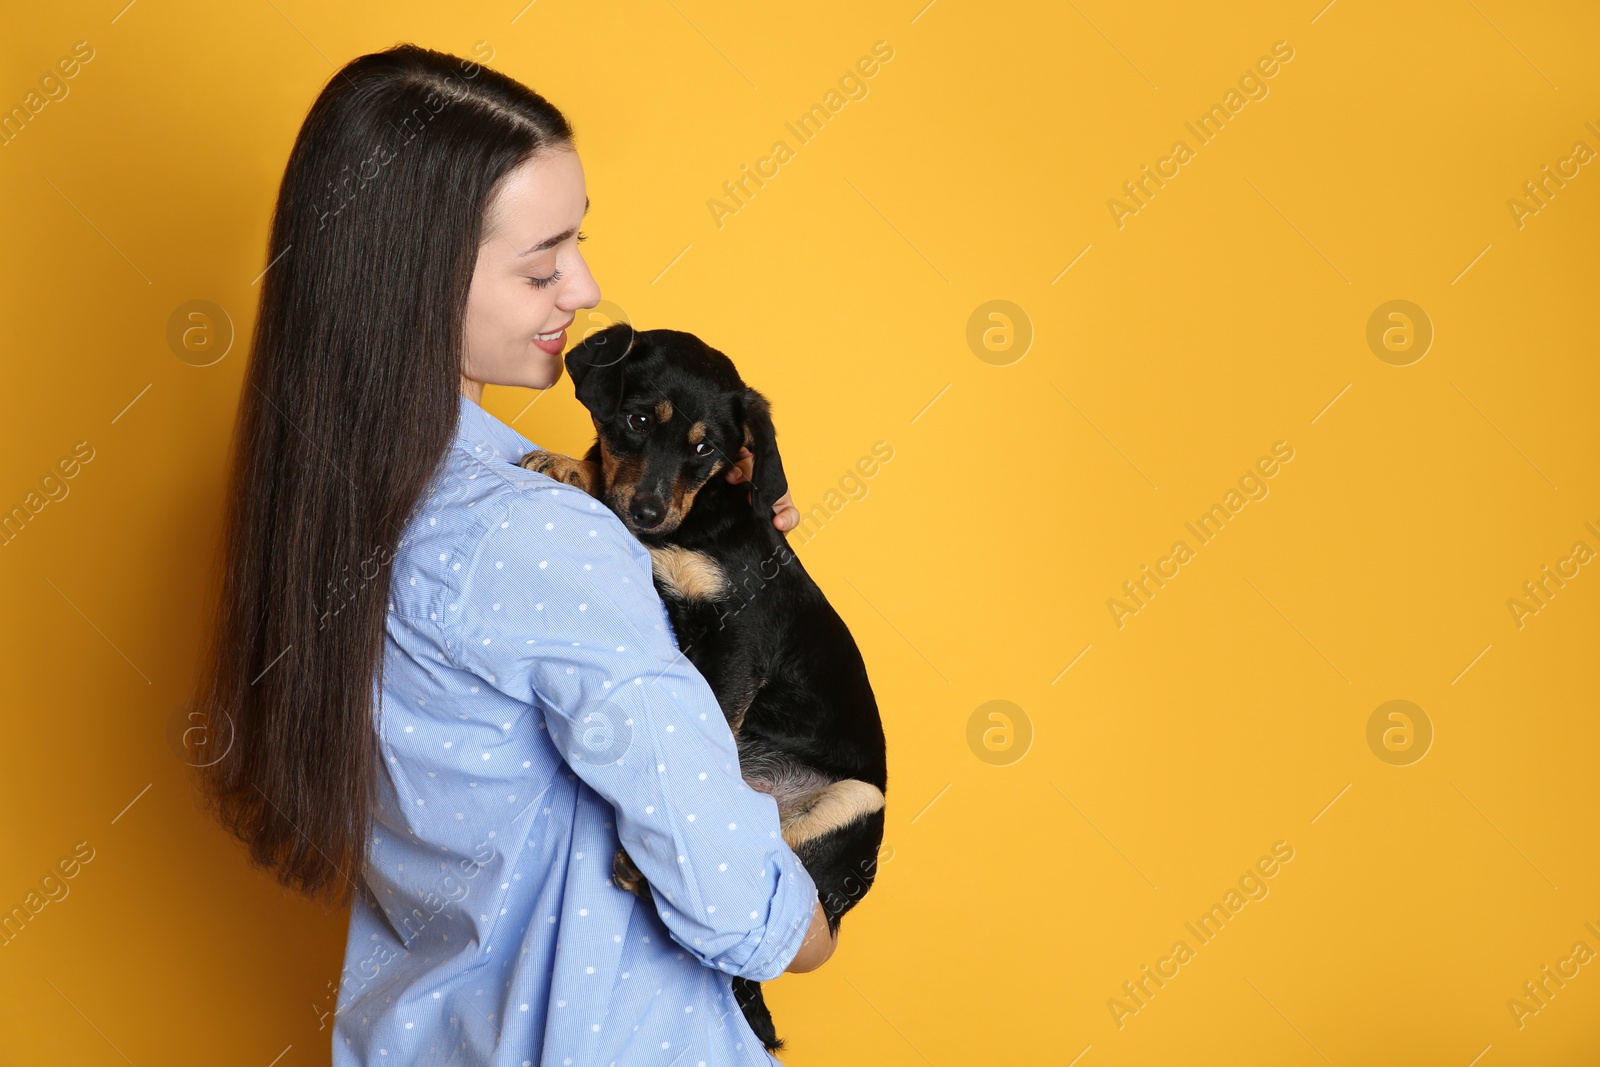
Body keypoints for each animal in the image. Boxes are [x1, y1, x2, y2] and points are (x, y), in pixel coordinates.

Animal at [518, 323, 889, 1049]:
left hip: (856, 802)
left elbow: (715, 722)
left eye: (705, 450)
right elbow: (607, 489)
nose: (650, 508)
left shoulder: (739, 641)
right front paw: (569, 465)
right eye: (637, 422)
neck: (694, 524)